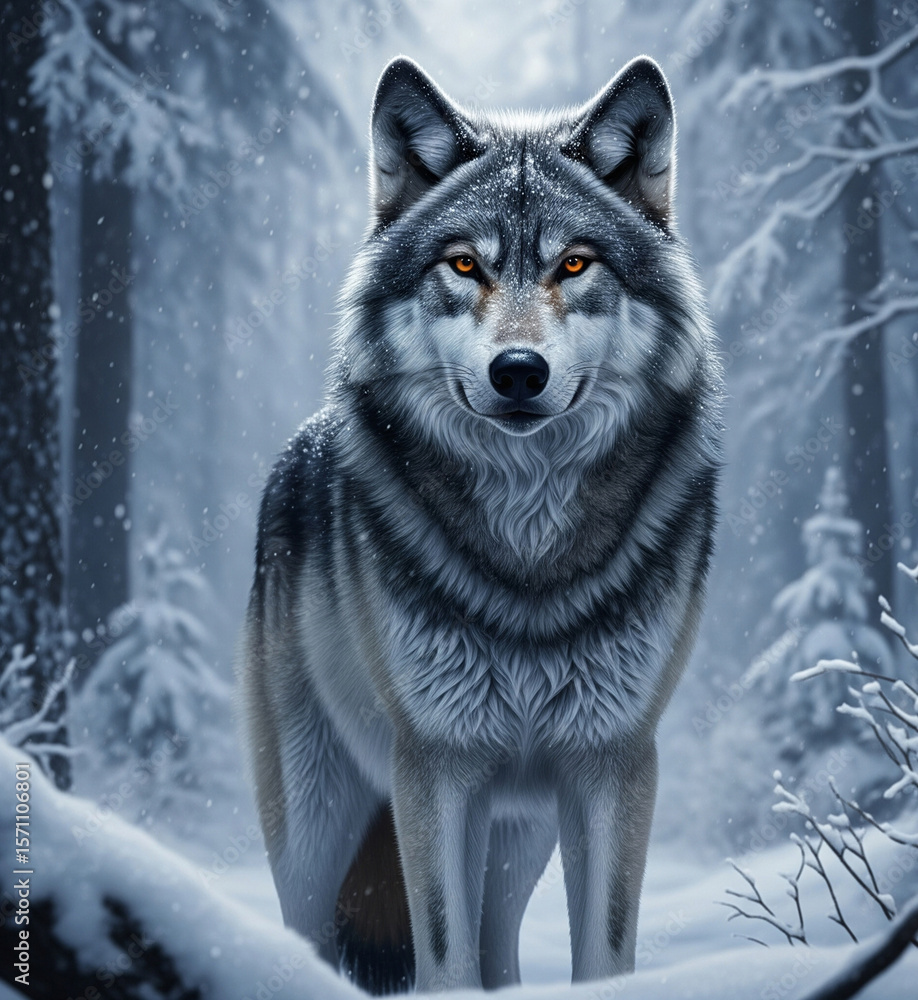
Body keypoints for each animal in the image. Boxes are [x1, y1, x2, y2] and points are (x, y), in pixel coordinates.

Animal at [241, 54, 722, 994]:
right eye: (464, 264)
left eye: (574, 264)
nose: (519, 370)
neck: (528, 550)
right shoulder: (435, 763)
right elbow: (444, 956)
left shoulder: (612, 760)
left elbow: (601, 953)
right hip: (318, 825)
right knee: (304, 934)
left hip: (516, 836)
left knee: (501, 954)